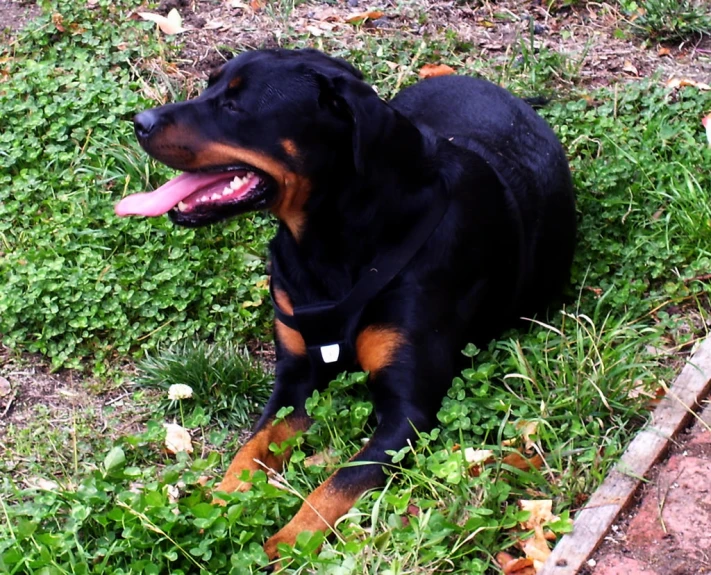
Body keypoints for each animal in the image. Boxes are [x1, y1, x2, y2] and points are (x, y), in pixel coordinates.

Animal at [114, 48, 576, 564]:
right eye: (208, 85)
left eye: (235, 106)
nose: (139, 121)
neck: (334, 244)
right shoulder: (295, 378)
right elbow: (252, 447)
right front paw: (220, 501)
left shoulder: (407, 412)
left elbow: (339, 481)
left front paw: (287, 544)